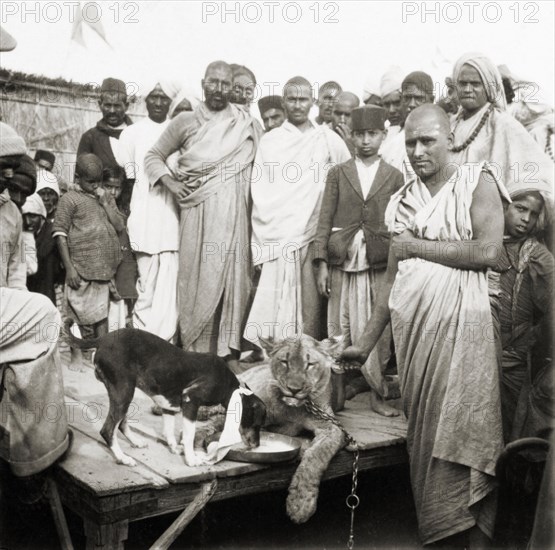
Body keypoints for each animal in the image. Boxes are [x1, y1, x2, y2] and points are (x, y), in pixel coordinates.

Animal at [65, 324, 268, 470]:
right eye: (256, 423)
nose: (257, 445)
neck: (228, 384)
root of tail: (102, 339)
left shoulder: (169, 407)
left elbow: (169, 431)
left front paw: (174, 448)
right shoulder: (190, 401)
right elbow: (189, 435)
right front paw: (191, 459)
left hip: (121, 393)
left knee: (120, 424)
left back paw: (135, 442)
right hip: (124, 391)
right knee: (108, 430)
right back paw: (123, 458)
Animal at [238, 336, 350, 528]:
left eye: (309, 364)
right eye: (285, 362)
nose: (294, 389)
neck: (293, 410)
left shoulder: (331, 426)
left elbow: (317, 454)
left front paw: (300, 502)